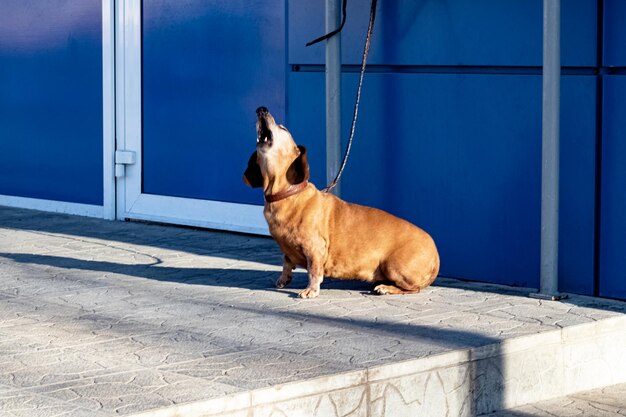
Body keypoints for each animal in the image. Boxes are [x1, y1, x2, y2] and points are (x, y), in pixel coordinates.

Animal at [241, 105, 436, 298]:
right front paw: (283, 279)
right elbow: (286, 262)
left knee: (413, 289)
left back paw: (386, 288)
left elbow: (314, 271)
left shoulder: (315, 248)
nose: (261, 109)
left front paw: (311, 290)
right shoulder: (287, 251)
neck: (288, 194)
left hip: (393, 266)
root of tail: (436, 256)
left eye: (283, 128)